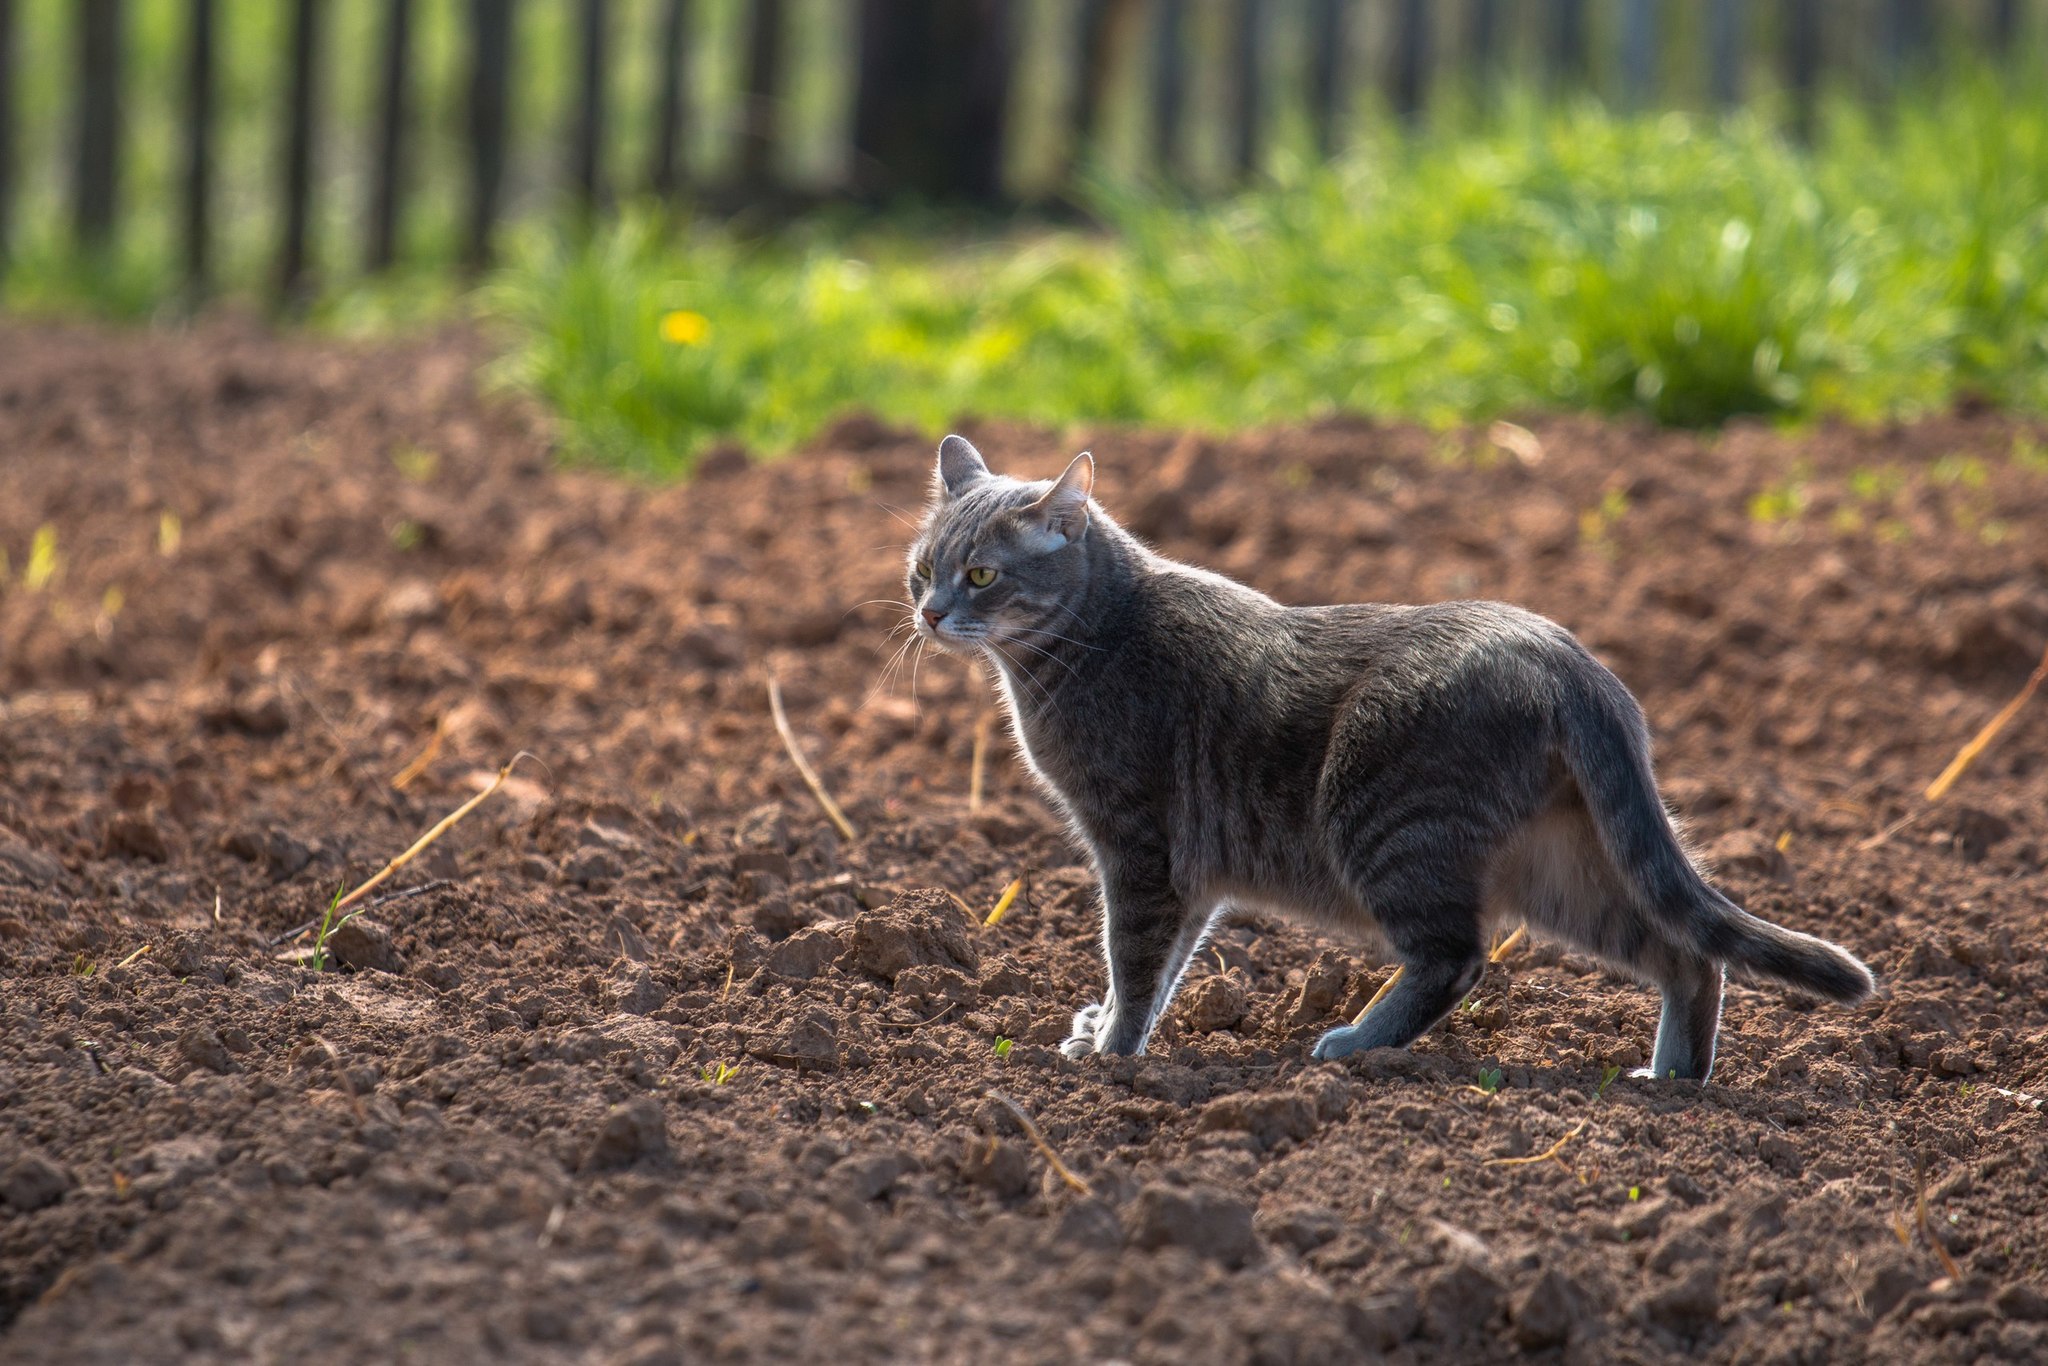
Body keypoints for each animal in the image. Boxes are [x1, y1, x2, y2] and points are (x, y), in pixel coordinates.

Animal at [909, 438, 1875, 1081]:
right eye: (922, 566)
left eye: (983, 575)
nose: (928, 612)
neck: (1089, 640)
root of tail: (1566, 657)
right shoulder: (1189, 872)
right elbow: (1165, 960)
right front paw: (1105, 1035)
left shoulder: (1137, 846)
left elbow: (1135, 958)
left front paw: (1112, 1058)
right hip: (1563, 864)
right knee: (1687, 955)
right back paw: (1673, 1079)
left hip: (1388, 827)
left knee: (1458, 956)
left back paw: (1357, 1043)